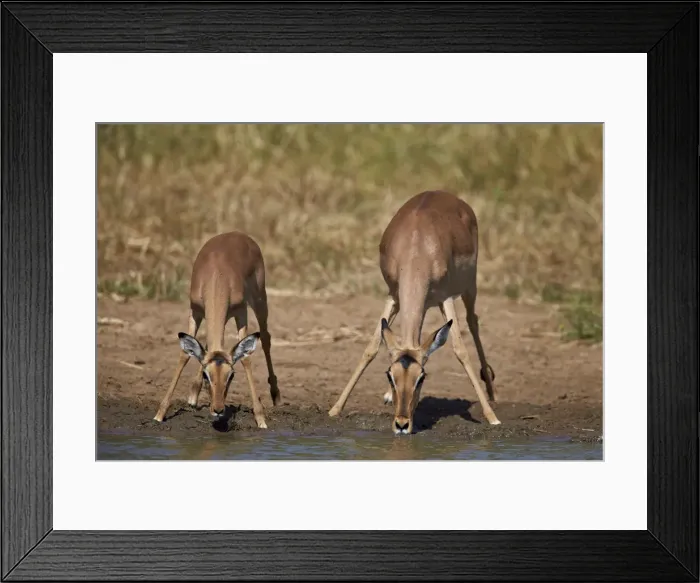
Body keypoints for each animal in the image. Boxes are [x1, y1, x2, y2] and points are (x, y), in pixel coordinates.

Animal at [153, 231, 281, 428]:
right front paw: (160, 414)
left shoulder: (241, 312)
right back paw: (193, 395)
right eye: (207, 375)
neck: (216, 277)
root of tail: (239, 234)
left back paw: (275, 395)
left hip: (260, 299)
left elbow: (246, 358)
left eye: (231, 376)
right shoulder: (195, 312)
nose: (218, 409)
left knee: (266, 338)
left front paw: (260, 418)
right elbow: (185, 354)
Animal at [328, 190, 500, 434]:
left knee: (473, 321)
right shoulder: (393, 295)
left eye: (422, 377)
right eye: (390, 375)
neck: (416, 249)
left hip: (469, 287)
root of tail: (447, 195)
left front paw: (492, 417)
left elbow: (460, 350)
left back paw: (492, 393)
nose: (402, 424)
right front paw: (335, 409)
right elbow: (371, 347)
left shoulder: (446, 298)